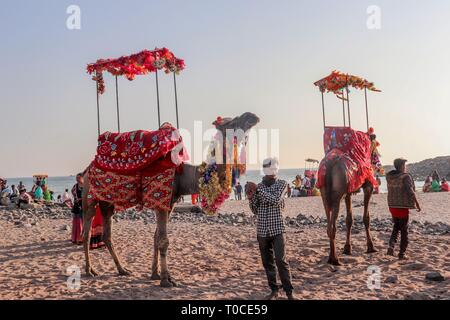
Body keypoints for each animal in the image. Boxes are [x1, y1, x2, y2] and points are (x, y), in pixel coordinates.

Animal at [79, 112, 258, 288]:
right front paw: (166, 279)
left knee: (107, 235)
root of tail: (87, 168)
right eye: (232, 122)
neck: (184, 176)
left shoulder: (170, 203)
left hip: (107, 203)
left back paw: (122, 270)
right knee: (86, 233)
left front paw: (155, 274)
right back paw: (89, 270)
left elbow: (156, 237)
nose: (253, 117)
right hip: (90, 198)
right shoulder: (161, 200)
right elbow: (163, 240)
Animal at [314, 72, 382, 264]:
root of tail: (328, 165)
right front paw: (371, 247)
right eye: (375, 146)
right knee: (332, 224)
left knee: (329, 223)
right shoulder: (367, 185)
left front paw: (348, 248)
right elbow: (366, 217)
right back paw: (334, 259)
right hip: (336, 194)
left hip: (324, 192)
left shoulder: (349, 191)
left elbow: (350, 219)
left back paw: (333, 256)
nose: (377, 161)